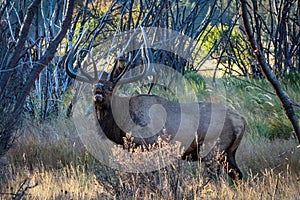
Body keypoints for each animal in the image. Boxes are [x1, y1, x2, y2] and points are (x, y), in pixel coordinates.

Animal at [65, 54, 246, 180]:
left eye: (110, 88)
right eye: (92, 86)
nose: (98, 92)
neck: (123, 121)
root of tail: (242, 122)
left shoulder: (148, 144)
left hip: (213, 149)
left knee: (215, 177)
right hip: (229, 153)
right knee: (238, 176)